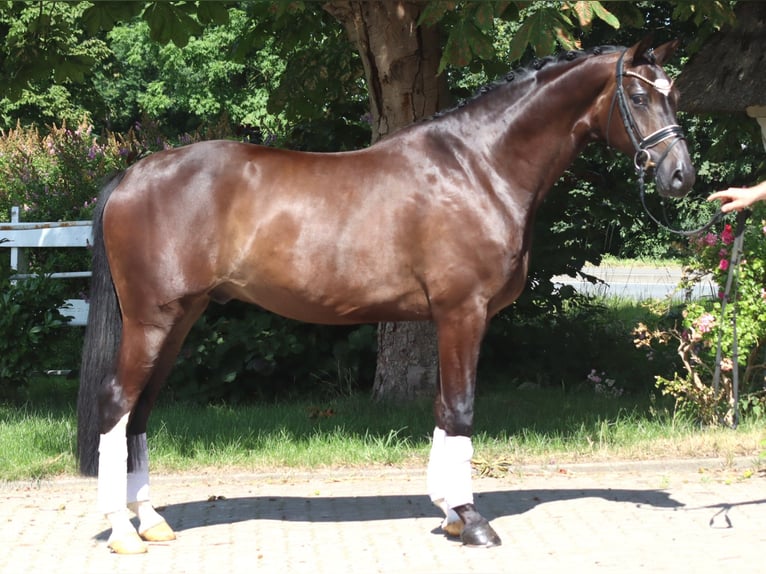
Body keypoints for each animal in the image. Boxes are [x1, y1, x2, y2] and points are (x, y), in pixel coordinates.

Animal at [77, 37, 695, 554]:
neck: (480, 167)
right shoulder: (463, 314)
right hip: (152, 321)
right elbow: (462, 409)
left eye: (675, 93)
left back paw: (151, 522)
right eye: (639, 95)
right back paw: (123, 532)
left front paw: (449, 514)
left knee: (139, 413)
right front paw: (473, 521)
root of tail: (132, 175)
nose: (681, 176)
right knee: (116, 404)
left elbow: (443, 408)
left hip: (180, 319)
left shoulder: (449, 319)